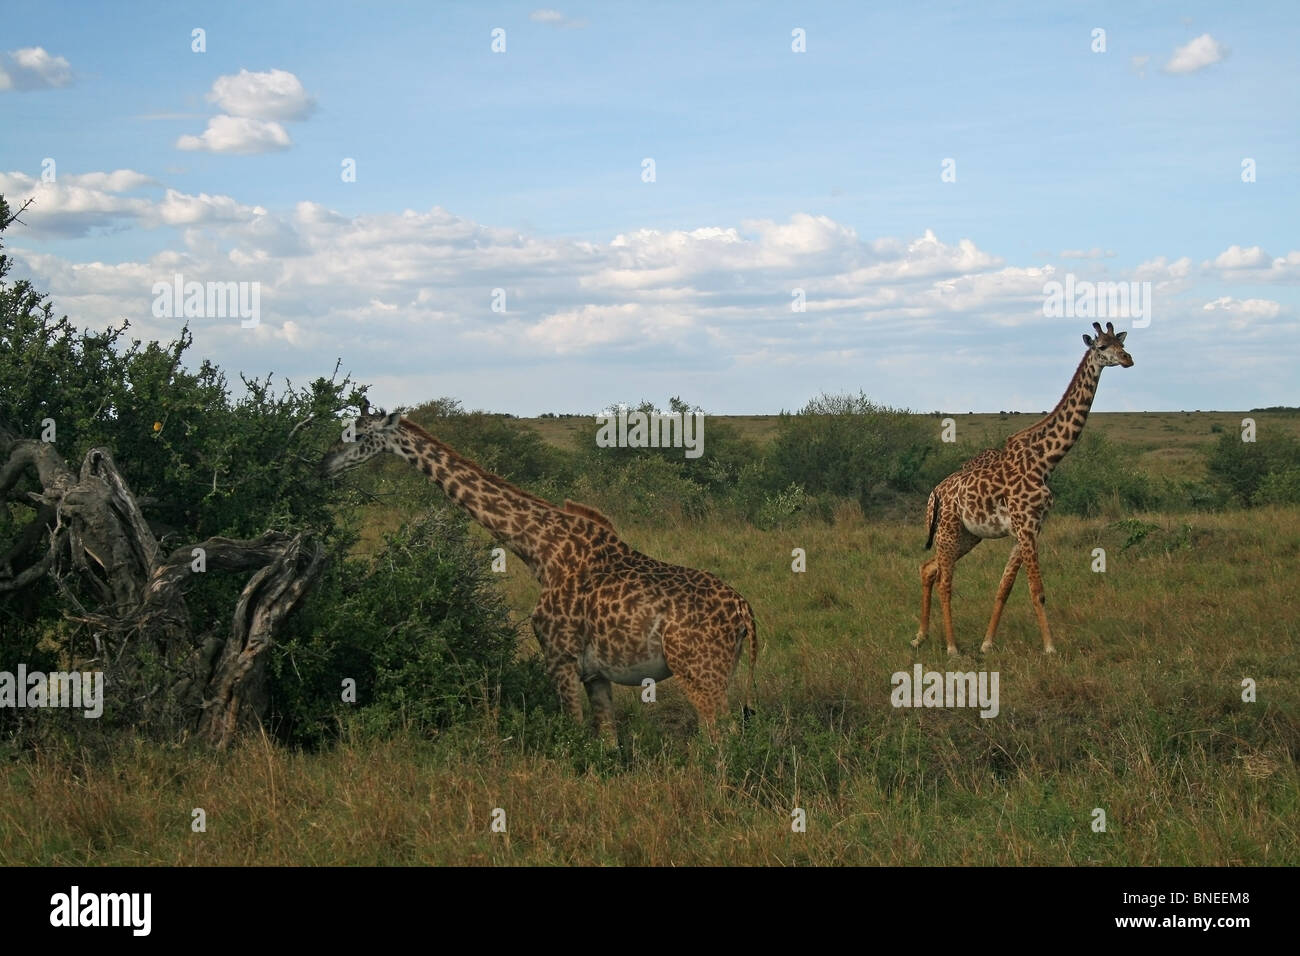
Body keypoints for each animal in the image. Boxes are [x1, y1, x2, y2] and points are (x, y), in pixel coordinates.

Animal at [318, 400, 759, 743]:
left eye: (356, 434)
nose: (323, 465)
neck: (540, 551)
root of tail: (744, 611)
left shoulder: (558, 657)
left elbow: (574, 733)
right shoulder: (594, 673)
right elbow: (607, 741)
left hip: (699, 671)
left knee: (721, 739)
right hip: (723, 671)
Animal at [915, 321, 1138, 658]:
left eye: (1121, 343)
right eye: (1101, 346)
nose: (1127, 359)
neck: (1047, 460)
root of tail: (935, 494)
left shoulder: (1031, 527)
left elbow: (1005, 587)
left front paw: (987, 643)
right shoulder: (1026, 526)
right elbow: (1037, 590)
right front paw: (1050, 647)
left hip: (969, 535)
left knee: (929, 569)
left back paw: (921, 637)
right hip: (949, 529)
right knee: (944, 581)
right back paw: (952, 646)